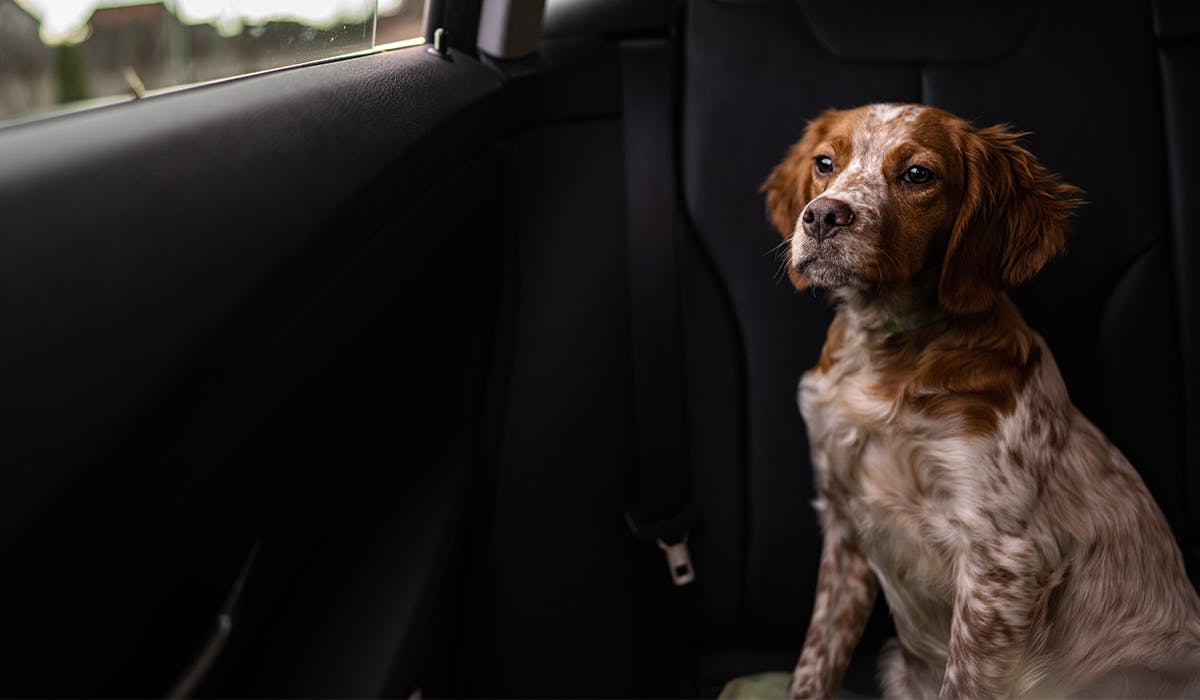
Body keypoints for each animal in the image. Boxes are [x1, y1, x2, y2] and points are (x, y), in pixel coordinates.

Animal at [763, 105, 1200, 700]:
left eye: (918, 175)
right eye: (824, 163)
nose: (823, 217)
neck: (888, 354)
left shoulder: (1000, 559)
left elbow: (964, 680)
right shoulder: (844, 526)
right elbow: (815, 660)